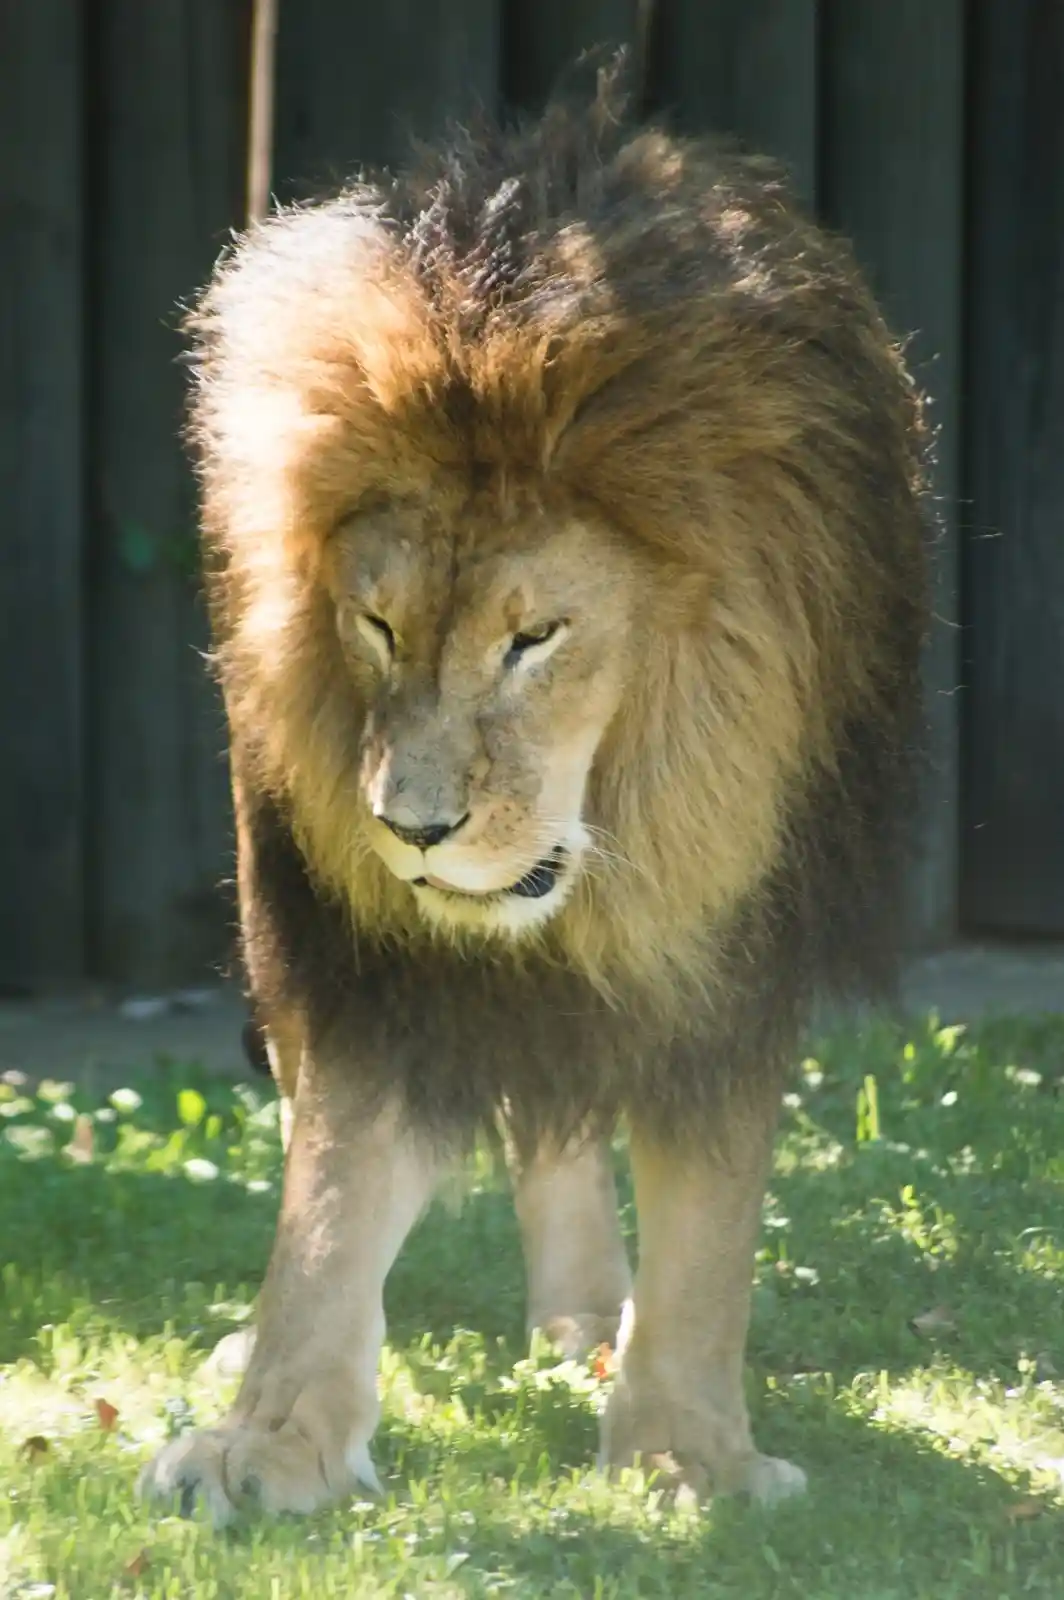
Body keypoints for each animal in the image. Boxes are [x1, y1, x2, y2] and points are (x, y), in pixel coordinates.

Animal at [139, 75, 921, 1523]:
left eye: (534, 637)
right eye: (376, 624)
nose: (411, 830)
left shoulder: (733, 940)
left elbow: (709, 1219)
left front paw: (682, 1451)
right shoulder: (364, 961)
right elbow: (332, 1194)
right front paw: (272, 1437)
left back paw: (584, 1321)